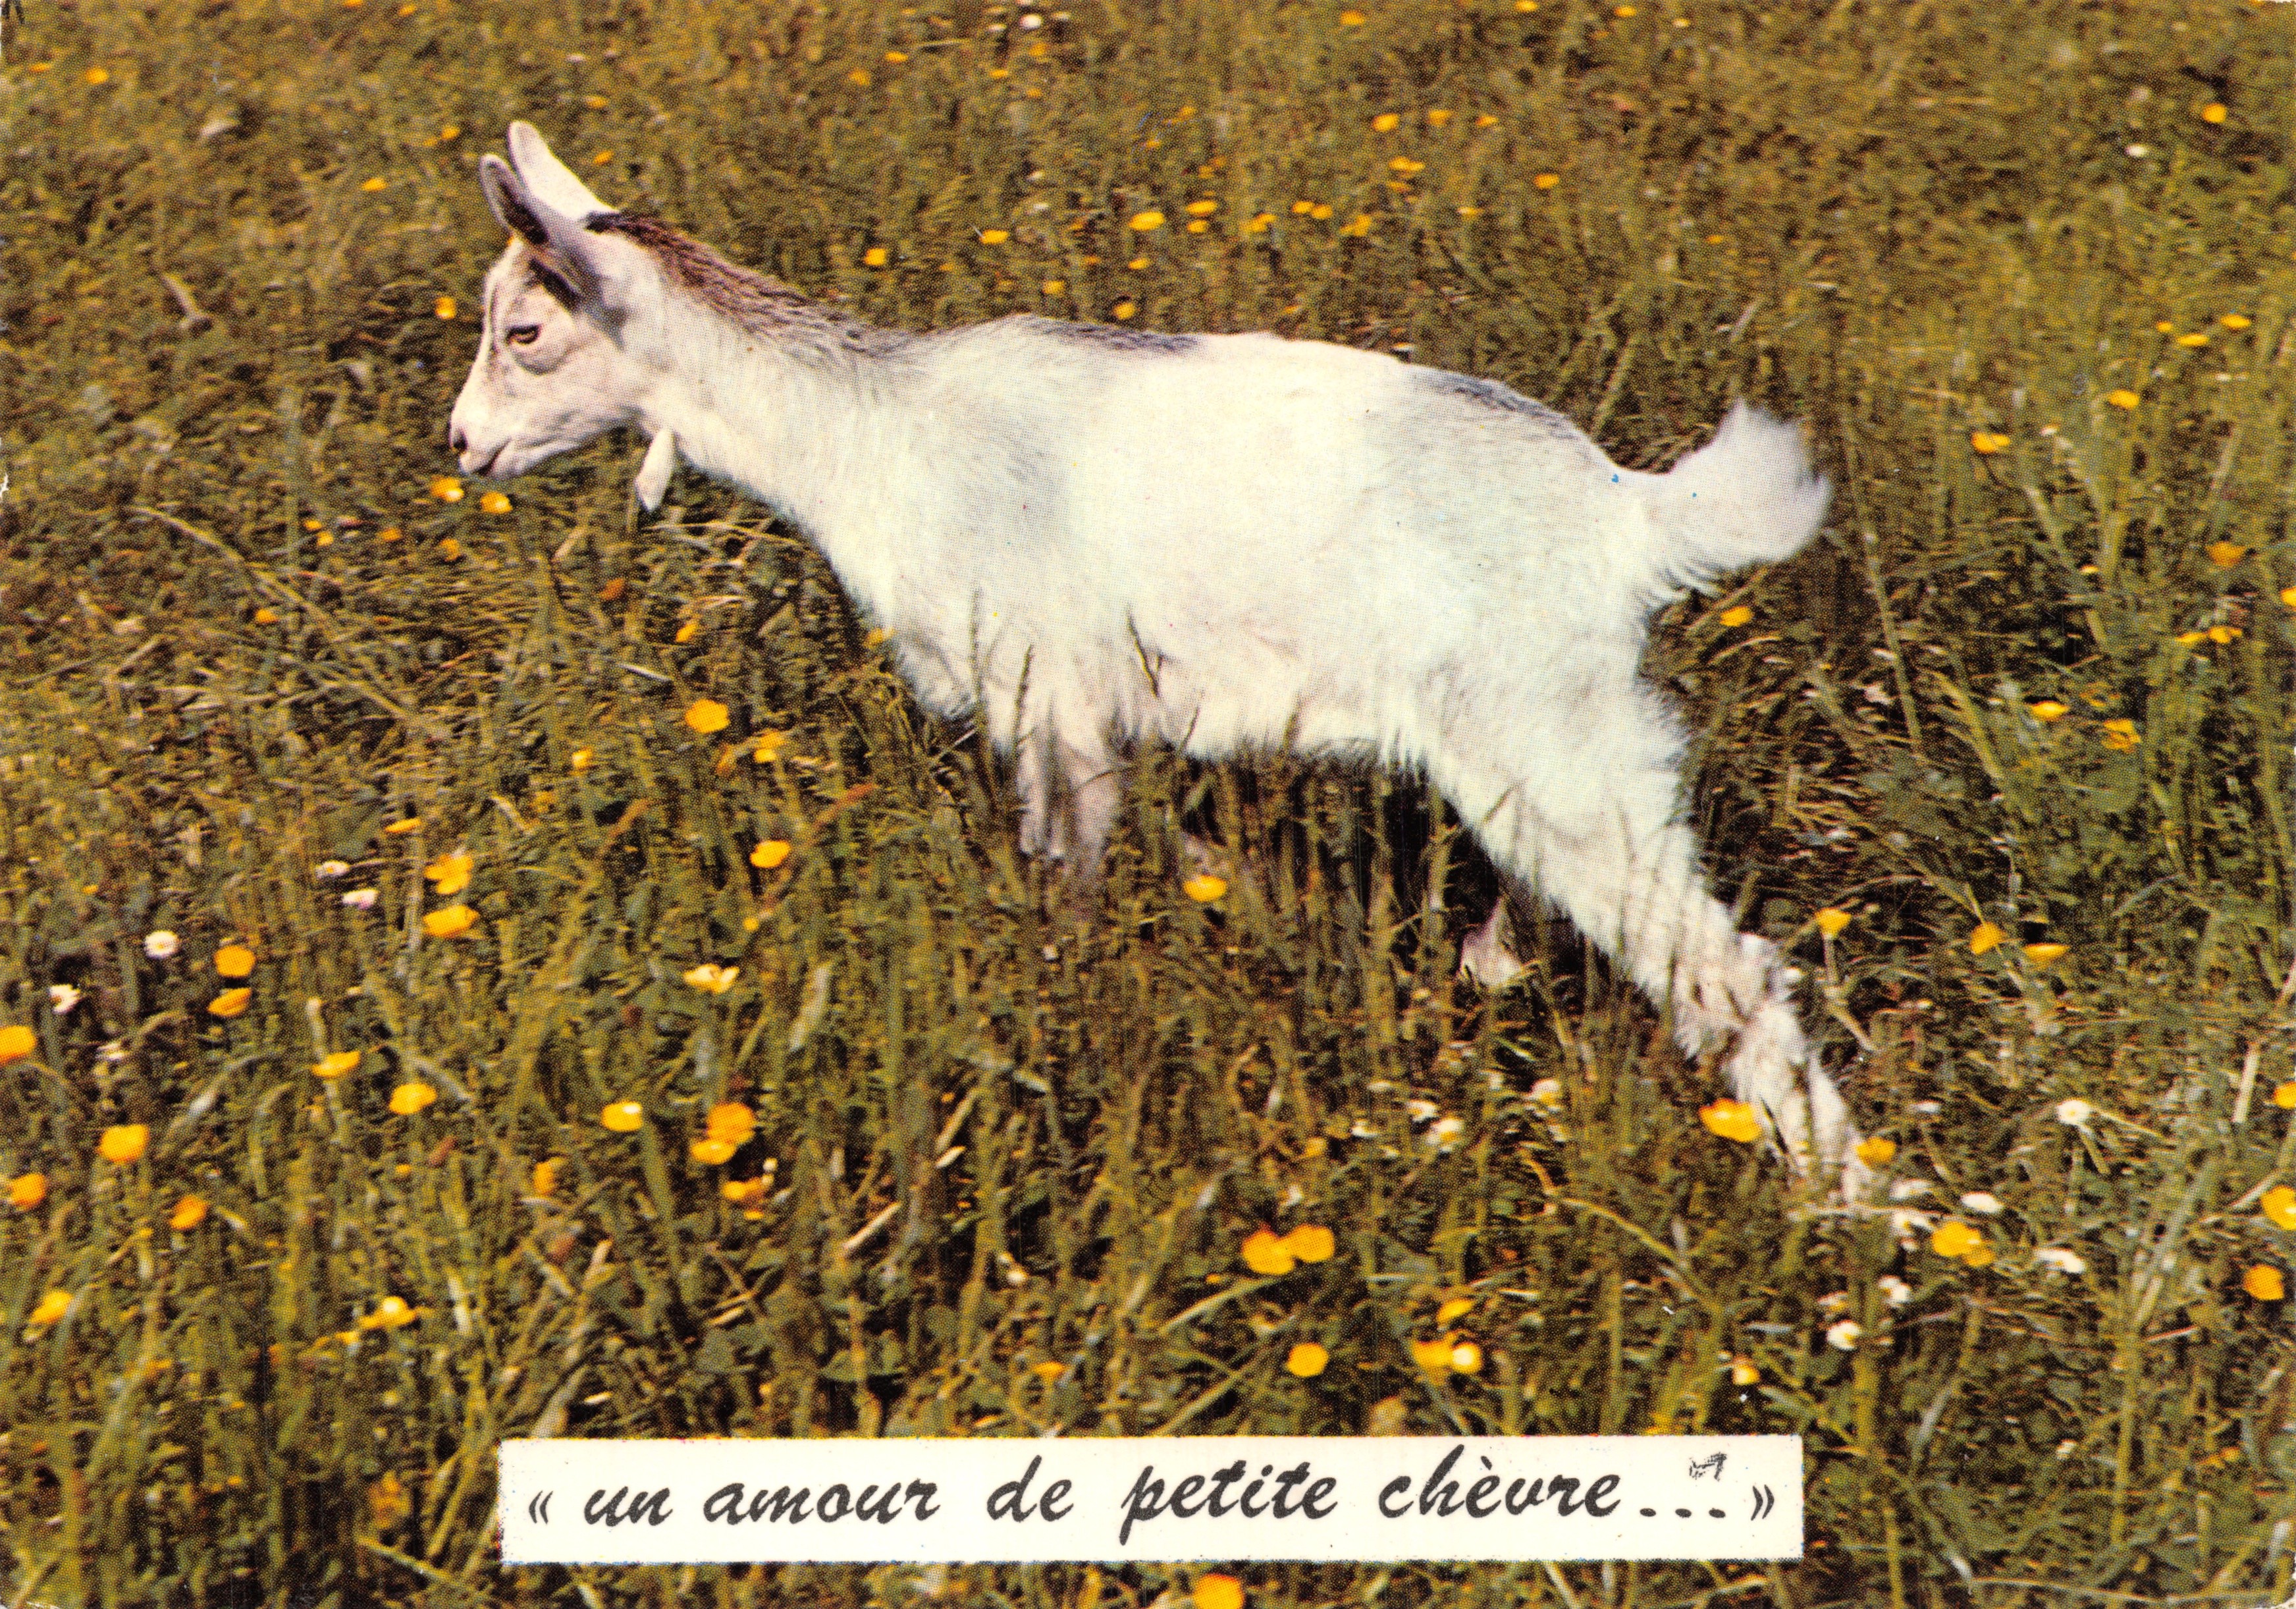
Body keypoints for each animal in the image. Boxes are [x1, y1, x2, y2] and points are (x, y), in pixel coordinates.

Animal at [447, 123, 1866, 1194]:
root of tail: (1631, 515)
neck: (871, 432)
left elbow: (1062, 891)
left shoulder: (1044, 698)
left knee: (1726, 970)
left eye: (524, 332)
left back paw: (1852, 1213)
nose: (463, 445)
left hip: (1558, 745)